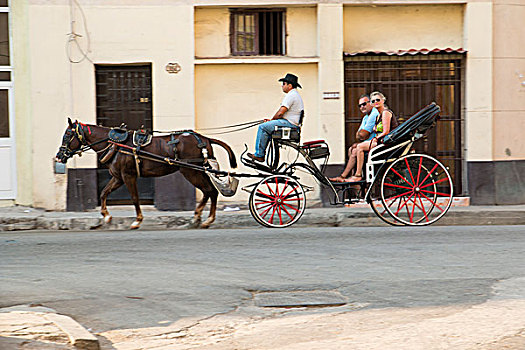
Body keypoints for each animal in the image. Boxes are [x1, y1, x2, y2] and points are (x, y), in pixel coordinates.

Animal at [56, 117, 236, 230]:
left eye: (67, 135)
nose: (59, 155)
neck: (116, 145)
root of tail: (204, 139)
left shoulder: (128, 176)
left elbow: (135, 198)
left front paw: (137, 221)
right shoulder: (118, 177)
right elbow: (103, 193)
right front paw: (106, 216)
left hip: (191, 171)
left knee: (209, 190)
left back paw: (206, 219)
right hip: (198, 171)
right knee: (210, 191)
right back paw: (199, 217)